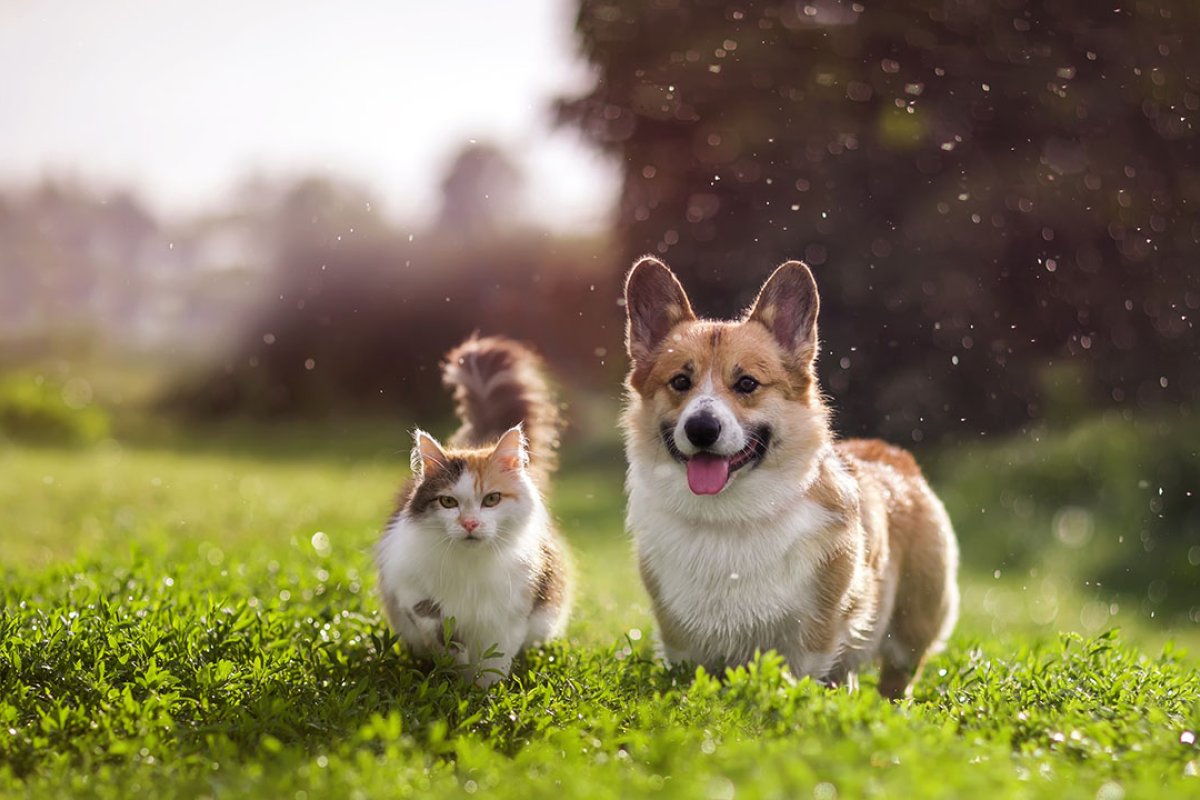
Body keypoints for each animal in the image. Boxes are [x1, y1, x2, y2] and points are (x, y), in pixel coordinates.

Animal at [376, 335, 568, 686]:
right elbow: (436, 624)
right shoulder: (407, 586)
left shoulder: (511, 612)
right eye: (448, 502)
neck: (471, 565)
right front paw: (456, 669)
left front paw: (484, 693)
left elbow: (495, 662)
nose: (469, 524)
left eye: (491, 500)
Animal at [624, 260, 960, 695]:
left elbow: (799, 677)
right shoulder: (679, 638)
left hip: (911, 627)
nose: (701, 428)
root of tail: (894, 455)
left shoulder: (814, 634)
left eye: (746, 383)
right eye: (680, 382)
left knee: (896, 679)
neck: (728, 517)